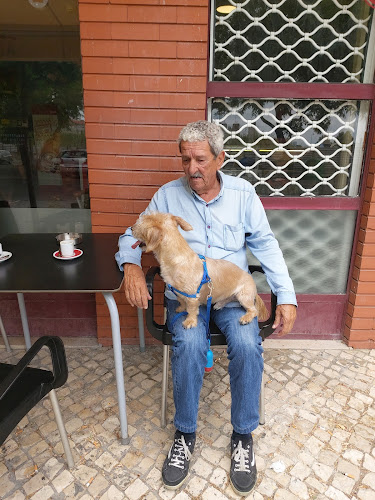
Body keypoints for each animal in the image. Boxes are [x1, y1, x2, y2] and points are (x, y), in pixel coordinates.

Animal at [133, 211, 270, 328]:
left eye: (140, 224)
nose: (131, 229)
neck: (178, 258)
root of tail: (251, 280)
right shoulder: (179, 292)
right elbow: (181, 301)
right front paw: (181, 308)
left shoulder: (192, 295)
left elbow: (192, 309)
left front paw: (190, 321)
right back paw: (219, 304)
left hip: (244, 296)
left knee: (253, 310)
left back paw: (246, 317)